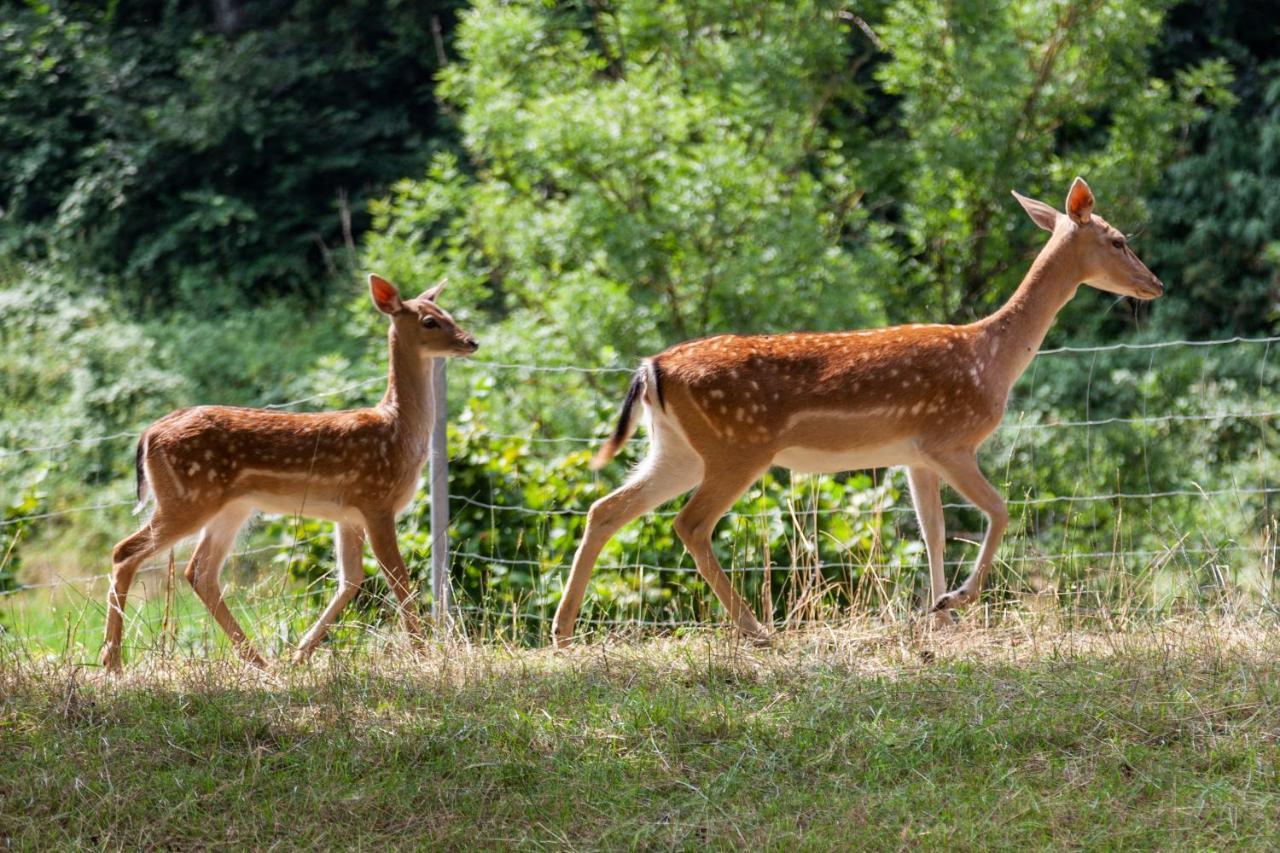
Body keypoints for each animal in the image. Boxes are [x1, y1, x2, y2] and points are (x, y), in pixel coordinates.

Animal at [98, 272, 481, 671]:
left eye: (448, 313)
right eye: (430, 321)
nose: (472, 342)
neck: (398, 430)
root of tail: (148, 435)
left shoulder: (348, 514)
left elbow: (351, 579)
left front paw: (300, 653)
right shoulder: (376, 499)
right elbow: (397, 577)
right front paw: (423, 654)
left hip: (230, 507)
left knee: (199, 571)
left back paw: (258, 660)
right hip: (187, 497)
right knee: (125, 551)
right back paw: (112, 661)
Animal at [555, 178, 1167, 645]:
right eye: (1118, 240)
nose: (1156, 283)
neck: (992, 358)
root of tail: (650, 368)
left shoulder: (914, 455)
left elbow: (933, 531)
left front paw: (939, 612)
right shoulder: (950, 439)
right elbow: (999, 510)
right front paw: (957, 598)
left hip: (678, 448)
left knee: (606, 509)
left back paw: (563, 631)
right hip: (737, 446)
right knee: (689, 523)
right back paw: (757, 630)